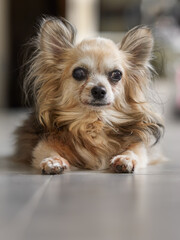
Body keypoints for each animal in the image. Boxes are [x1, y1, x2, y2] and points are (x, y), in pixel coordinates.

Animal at [14, 17, 164, 174]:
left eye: (116, 75)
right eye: (78, 73)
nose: (99, 90)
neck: (93, 122)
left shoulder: (139, 145)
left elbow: (134, 151)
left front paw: (125, 159)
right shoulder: (42, 145)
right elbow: (48, 151)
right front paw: (54, 161)